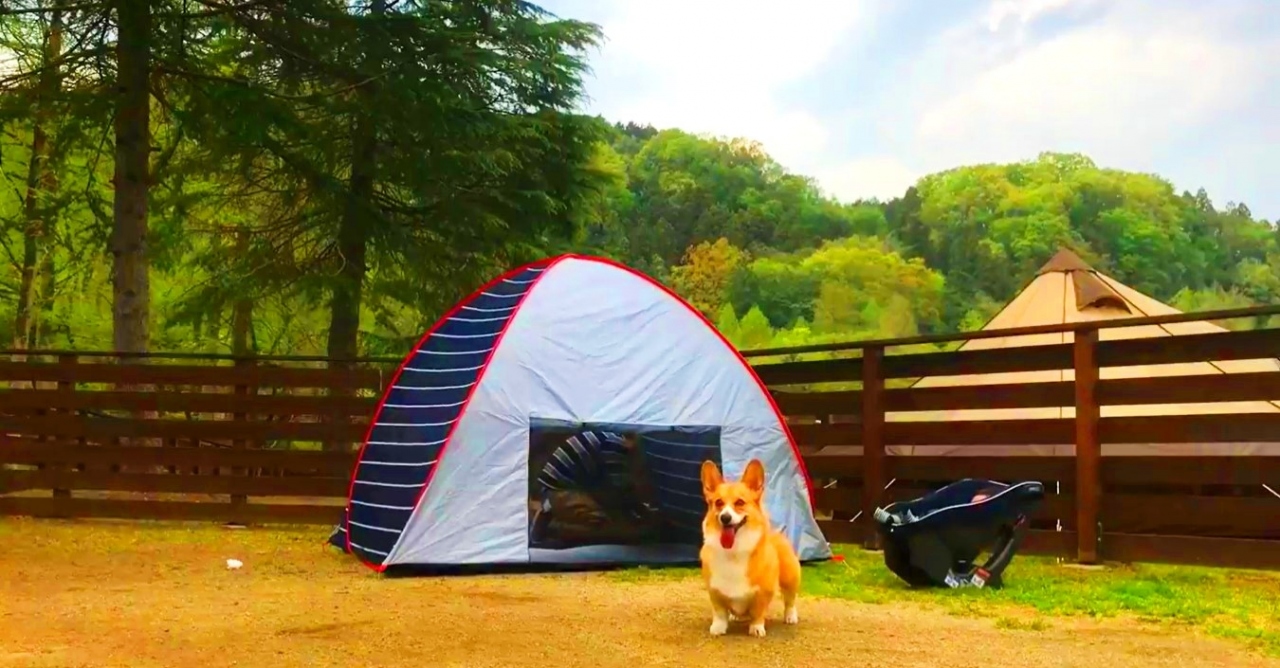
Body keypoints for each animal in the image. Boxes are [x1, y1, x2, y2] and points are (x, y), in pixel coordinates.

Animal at [701, 458, 798, 634]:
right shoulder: (714, 591)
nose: (725, 517)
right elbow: (719, 612)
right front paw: (718, 627)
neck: (733, 551)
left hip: (791, 578)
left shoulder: (763, 592)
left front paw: (756, 628)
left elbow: (759, 612)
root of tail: (777, 533)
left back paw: (790, 617)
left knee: (790, 600)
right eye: (718, 502)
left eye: (740, 502)